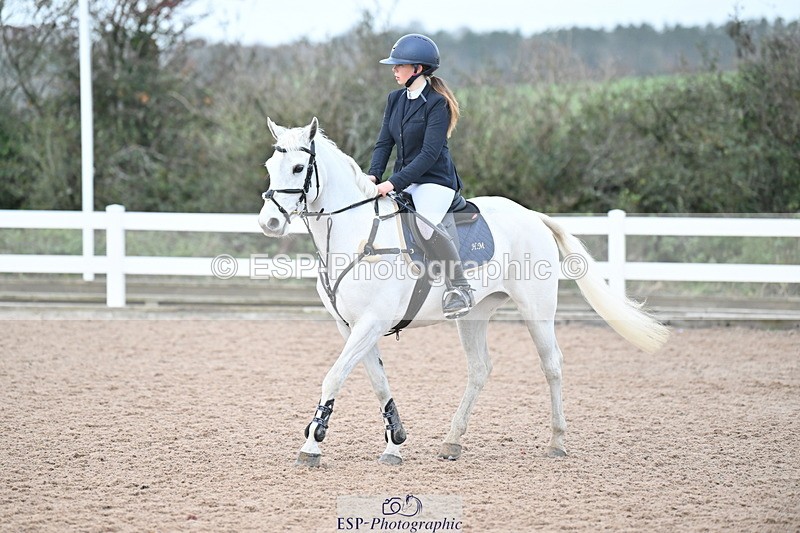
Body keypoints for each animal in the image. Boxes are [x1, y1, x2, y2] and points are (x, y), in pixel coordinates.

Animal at [258, 117, 669, 467]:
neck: (356, 233)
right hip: (473, 315)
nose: (270, 222)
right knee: (480, 369)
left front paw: (312, 444)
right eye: (269, 166)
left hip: (537, 311)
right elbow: (377, 382)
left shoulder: (371, 322)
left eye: (298, 169)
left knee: (551, 365)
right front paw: (395, 442)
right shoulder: (351, 326)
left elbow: (334, 376)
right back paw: (452, 441)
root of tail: (532, 215)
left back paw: (556, 442)